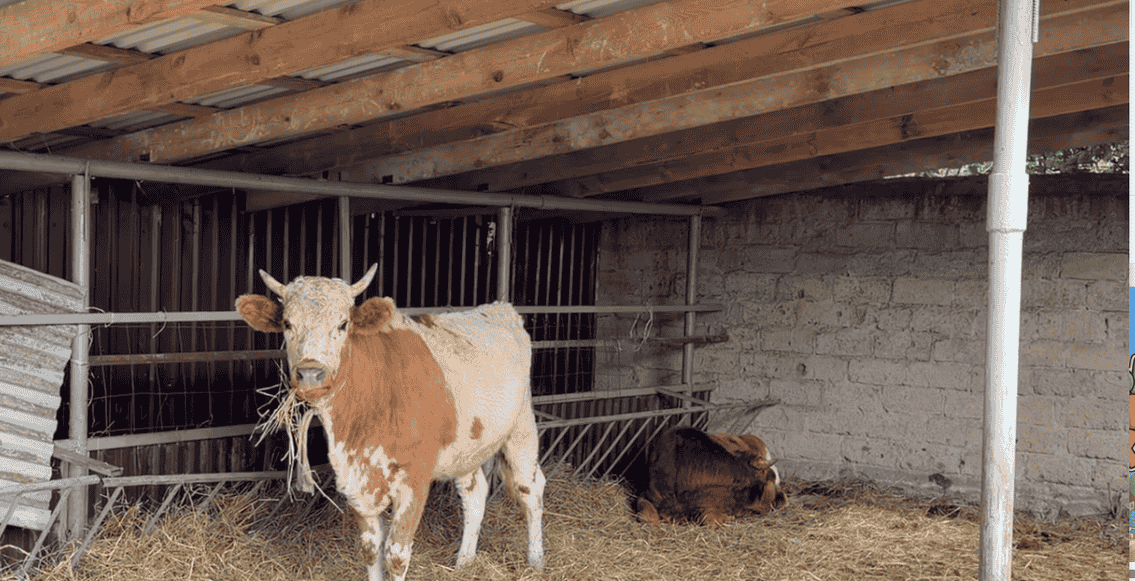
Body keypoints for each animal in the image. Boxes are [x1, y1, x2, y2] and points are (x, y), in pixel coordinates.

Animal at [235, 264, 544, 581]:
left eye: (343, 324)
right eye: (287, 323)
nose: (310, 373)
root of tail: (499, 309)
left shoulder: (415, 481)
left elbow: (396, 554)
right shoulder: (357, 481)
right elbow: (371, 550)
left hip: (521, 427)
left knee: (530, 488)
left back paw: (535, 560)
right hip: (467, 444)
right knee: (474, 492)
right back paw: (464, 561)